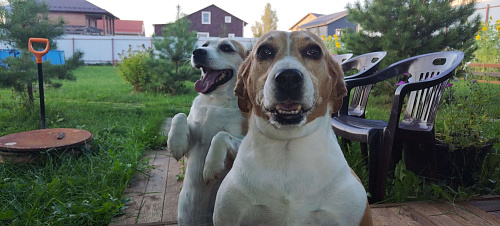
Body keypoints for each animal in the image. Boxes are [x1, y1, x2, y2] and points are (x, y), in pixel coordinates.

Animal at [167, 38, 247, 225]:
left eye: (226, 47)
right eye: (204, 45)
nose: (197, 52)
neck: (215, 100)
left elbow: (220, 135)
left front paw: (211, 166)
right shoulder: (190, 148)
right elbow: (179, 115)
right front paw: (176, 144)